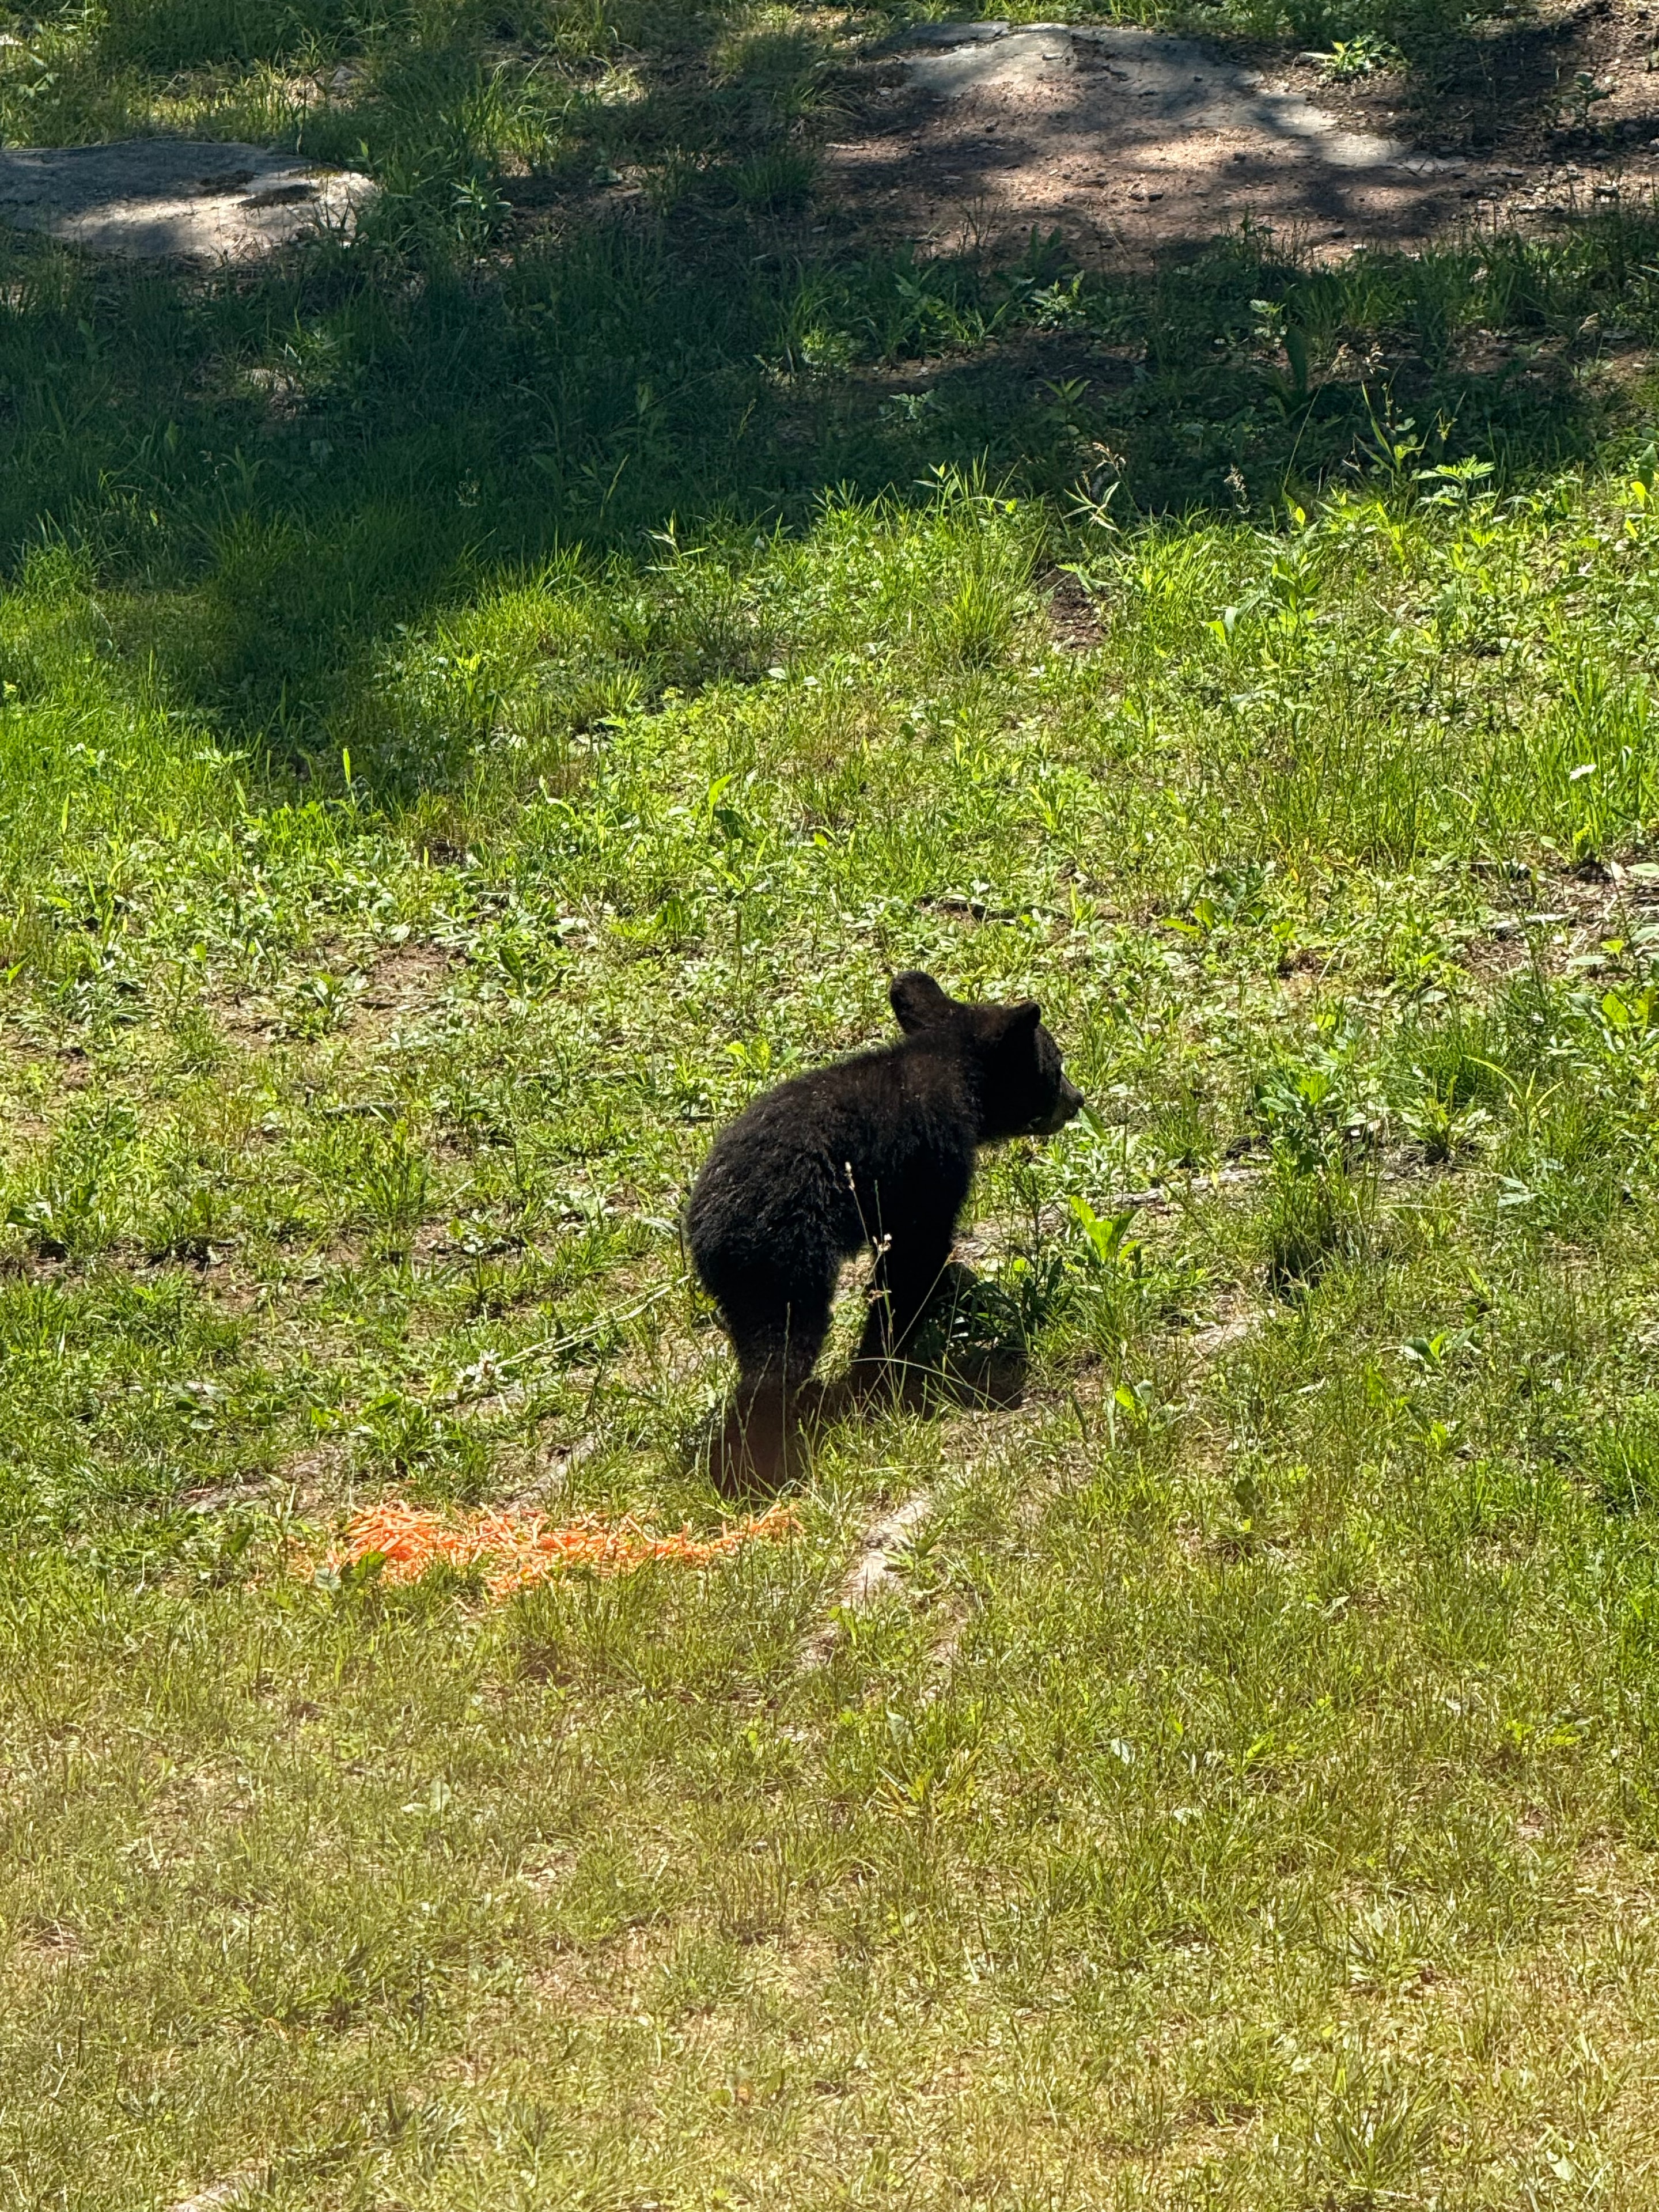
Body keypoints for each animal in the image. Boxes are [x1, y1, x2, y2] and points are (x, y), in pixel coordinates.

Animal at [687, 971, 1084, 1477]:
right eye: (1056, 1063)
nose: (1078, 1099)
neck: (953, 1066)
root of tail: (705, 1222)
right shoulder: (931, 1154)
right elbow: (915, 1255)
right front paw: (879, 1366)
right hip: (781, 1253)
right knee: (780, 1345)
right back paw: (764, 1450)